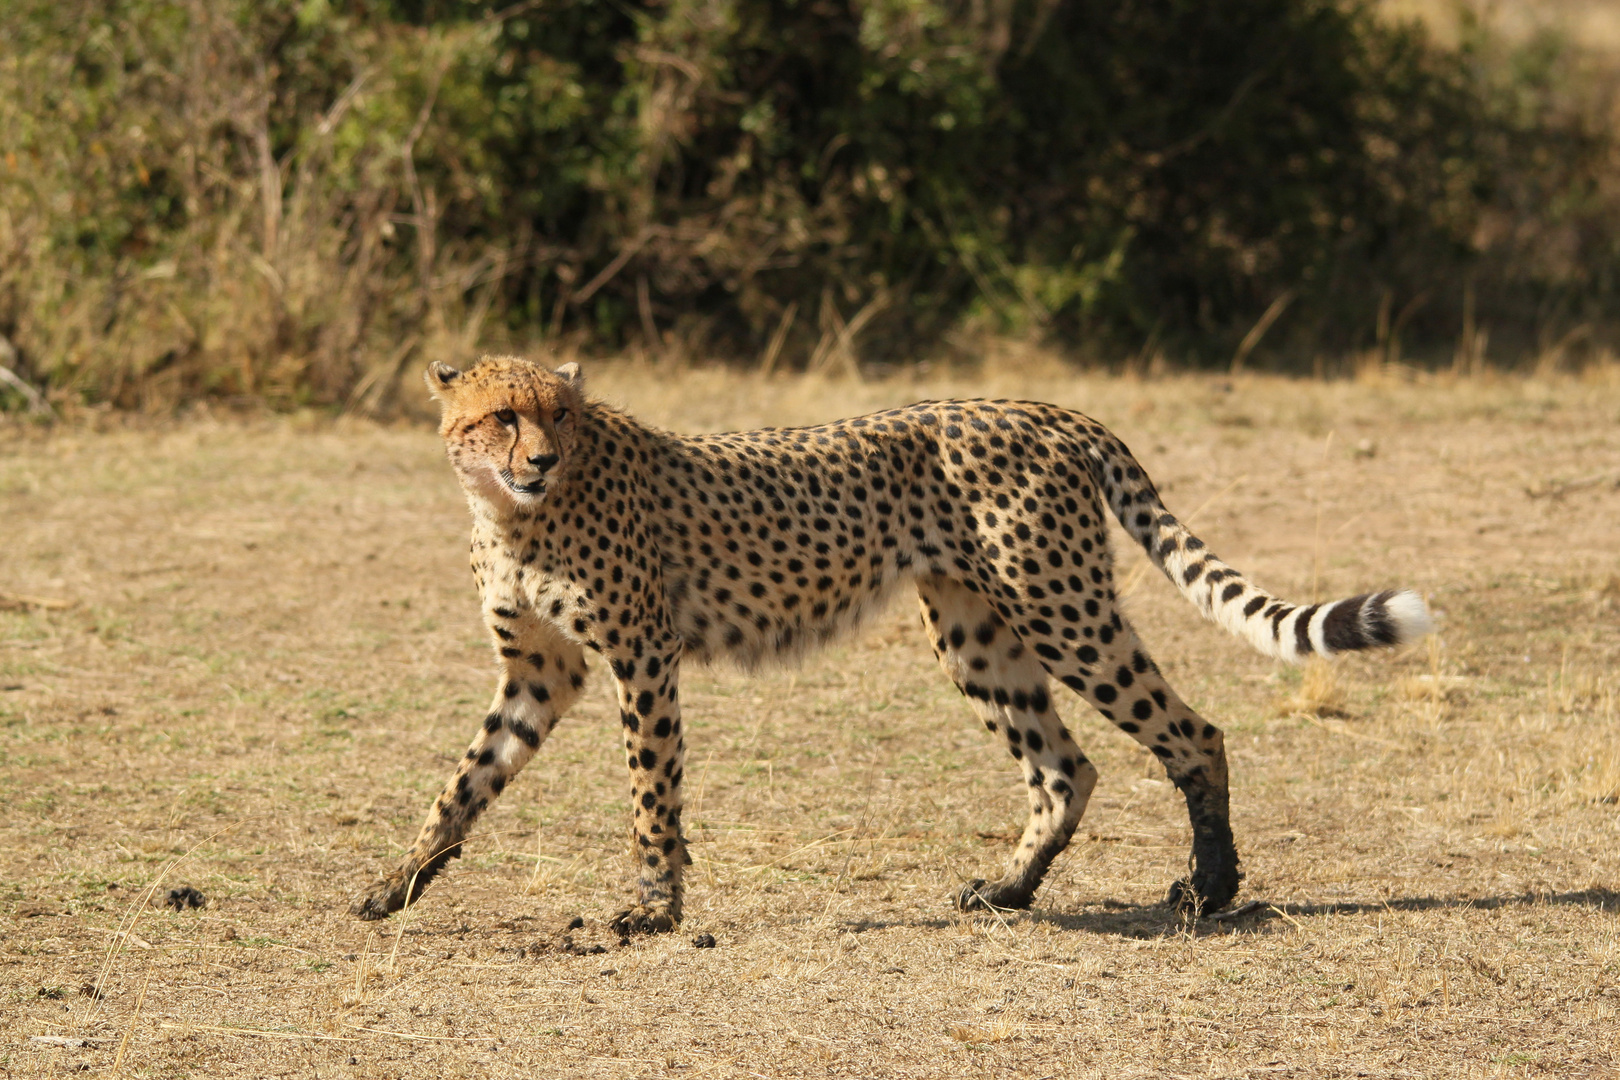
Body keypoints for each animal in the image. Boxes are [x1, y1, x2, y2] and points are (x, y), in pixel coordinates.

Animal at [351, 359, 1432, 932]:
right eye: (502, 416)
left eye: (561, 415)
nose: (539, 459)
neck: (516, 514)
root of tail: (1046, 406)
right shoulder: (541, 671)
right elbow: (463, 784)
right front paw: (395, 884)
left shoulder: (642, 657)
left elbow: (650, 795)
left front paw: (654, 908)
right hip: (973, 631)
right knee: (1065, 767)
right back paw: (1008, 887)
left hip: (1060, 606)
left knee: (1191, 733)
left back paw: (1209, 888)